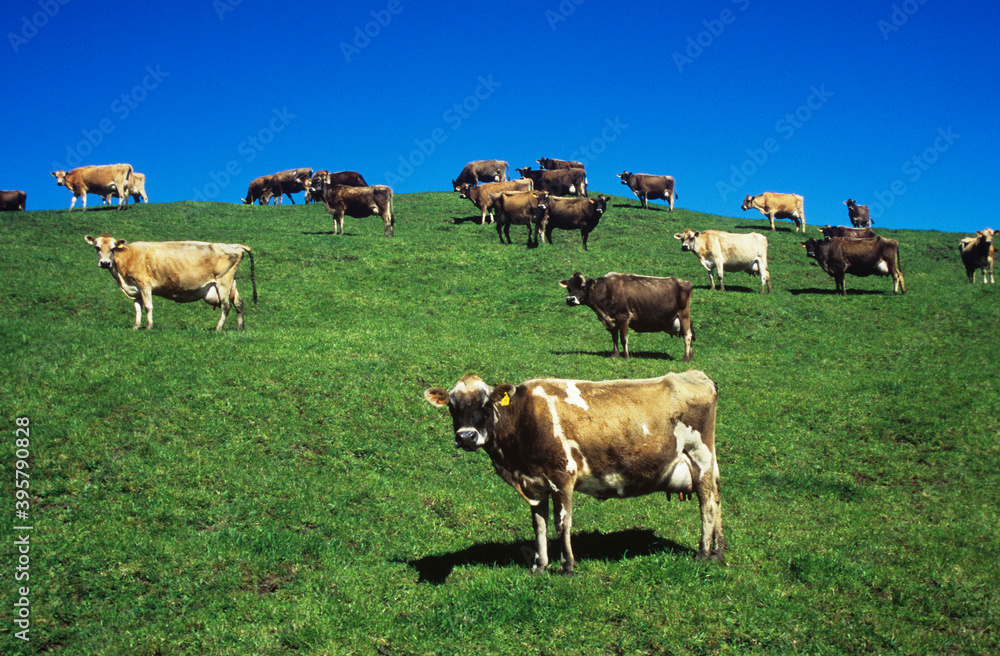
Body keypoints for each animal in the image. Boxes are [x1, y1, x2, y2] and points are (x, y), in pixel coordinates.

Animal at [84, 234, 256, 331]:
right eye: (97, 248)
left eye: (113, 248)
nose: (105, 263)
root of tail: (233, 245)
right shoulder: (135, 288)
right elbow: (137, 308)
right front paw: (135, 327)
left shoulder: (144, 284)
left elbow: (148, 306)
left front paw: (148, 327)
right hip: (231, 281)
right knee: (239, 303)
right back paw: (240, 328)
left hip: (223, 281)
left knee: (226, 305)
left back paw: (218, 328)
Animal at [423, 371, 725, 573]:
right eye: (451, 406)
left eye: (486, 404)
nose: (466, 436)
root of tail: (694, 375)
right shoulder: (535, 483)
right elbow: (539, 524)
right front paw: (540, 566)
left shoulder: (562, 475)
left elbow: (562, 523)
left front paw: (567, 565)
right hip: (709, 463)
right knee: (718, 499)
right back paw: (719, 551)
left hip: (700, 457)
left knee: (707, 503)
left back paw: (703, 553)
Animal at [560, 272, 694, 361]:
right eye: (569, 288)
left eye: (582, 286)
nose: (570, 299)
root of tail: (685, 282)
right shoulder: (612, 321)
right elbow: (614, 338)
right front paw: (615, 355)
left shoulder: (624, 317)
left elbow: (624, 338)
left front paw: (626, 356)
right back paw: (691, 357)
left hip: (684, 314)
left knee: (687, 335)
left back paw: (685, 358)